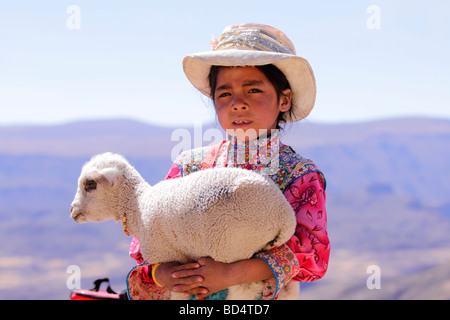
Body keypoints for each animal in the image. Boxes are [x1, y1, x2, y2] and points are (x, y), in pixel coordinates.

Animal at [69, 152, 298, 300]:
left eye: (90, 185)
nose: (71, 210)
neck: (137, 205)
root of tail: (284, 215)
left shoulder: (169, 259)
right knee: (288, 288)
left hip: (234, 247)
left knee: (246, 289)